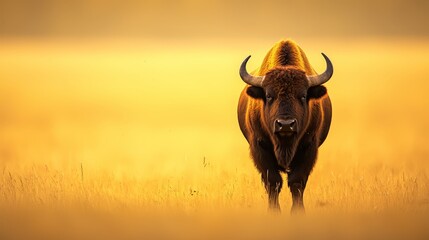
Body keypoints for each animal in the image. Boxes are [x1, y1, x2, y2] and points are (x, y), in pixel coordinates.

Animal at [236, 39, 332, 214]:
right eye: (268, 96)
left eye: (303, 96)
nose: (285, 125)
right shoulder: (260, 148)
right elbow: (273, 182)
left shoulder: (309, 148)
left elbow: (296, 182)